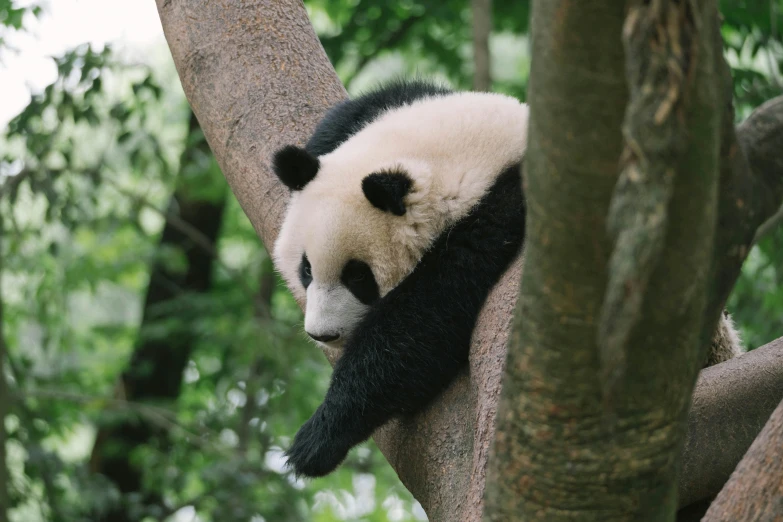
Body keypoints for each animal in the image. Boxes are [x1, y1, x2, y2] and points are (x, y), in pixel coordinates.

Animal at [272, 78, 748, 476]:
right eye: (307, 268)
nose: (322, 334)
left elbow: (418, 328)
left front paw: (317, 439)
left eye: (359, 277)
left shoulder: (498, 219)